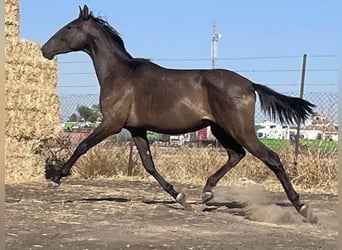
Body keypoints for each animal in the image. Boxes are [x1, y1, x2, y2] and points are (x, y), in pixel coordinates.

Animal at [42, 4, 318, 223]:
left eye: (69, 27)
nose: (45, 49)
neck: (119, 74)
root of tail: (249, 84)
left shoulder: (112, 123)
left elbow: (82, 146)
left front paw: (56, 177)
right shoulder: (136, 129)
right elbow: (149, 164)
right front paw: (180, 196)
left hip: (240, 129)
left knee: (271, 158)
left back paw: (303, 208)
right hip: (220, 128)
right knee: (236, 154)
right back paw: (206, 192)